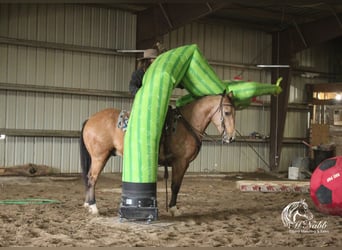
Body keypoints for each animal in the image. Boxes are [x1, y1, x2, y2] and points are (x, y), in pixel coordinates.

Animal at [80, 91, 235, 215]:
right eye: (227, 112)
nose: (231, 137)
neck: (186, 125)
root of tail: (90, 120)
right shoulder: (181, 162)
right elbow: (175, 186)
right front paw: (173, 209)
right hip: (100, 157)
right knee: (92, 178)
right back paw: (93, 207)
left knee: (88, 177)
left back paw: (87, 204)